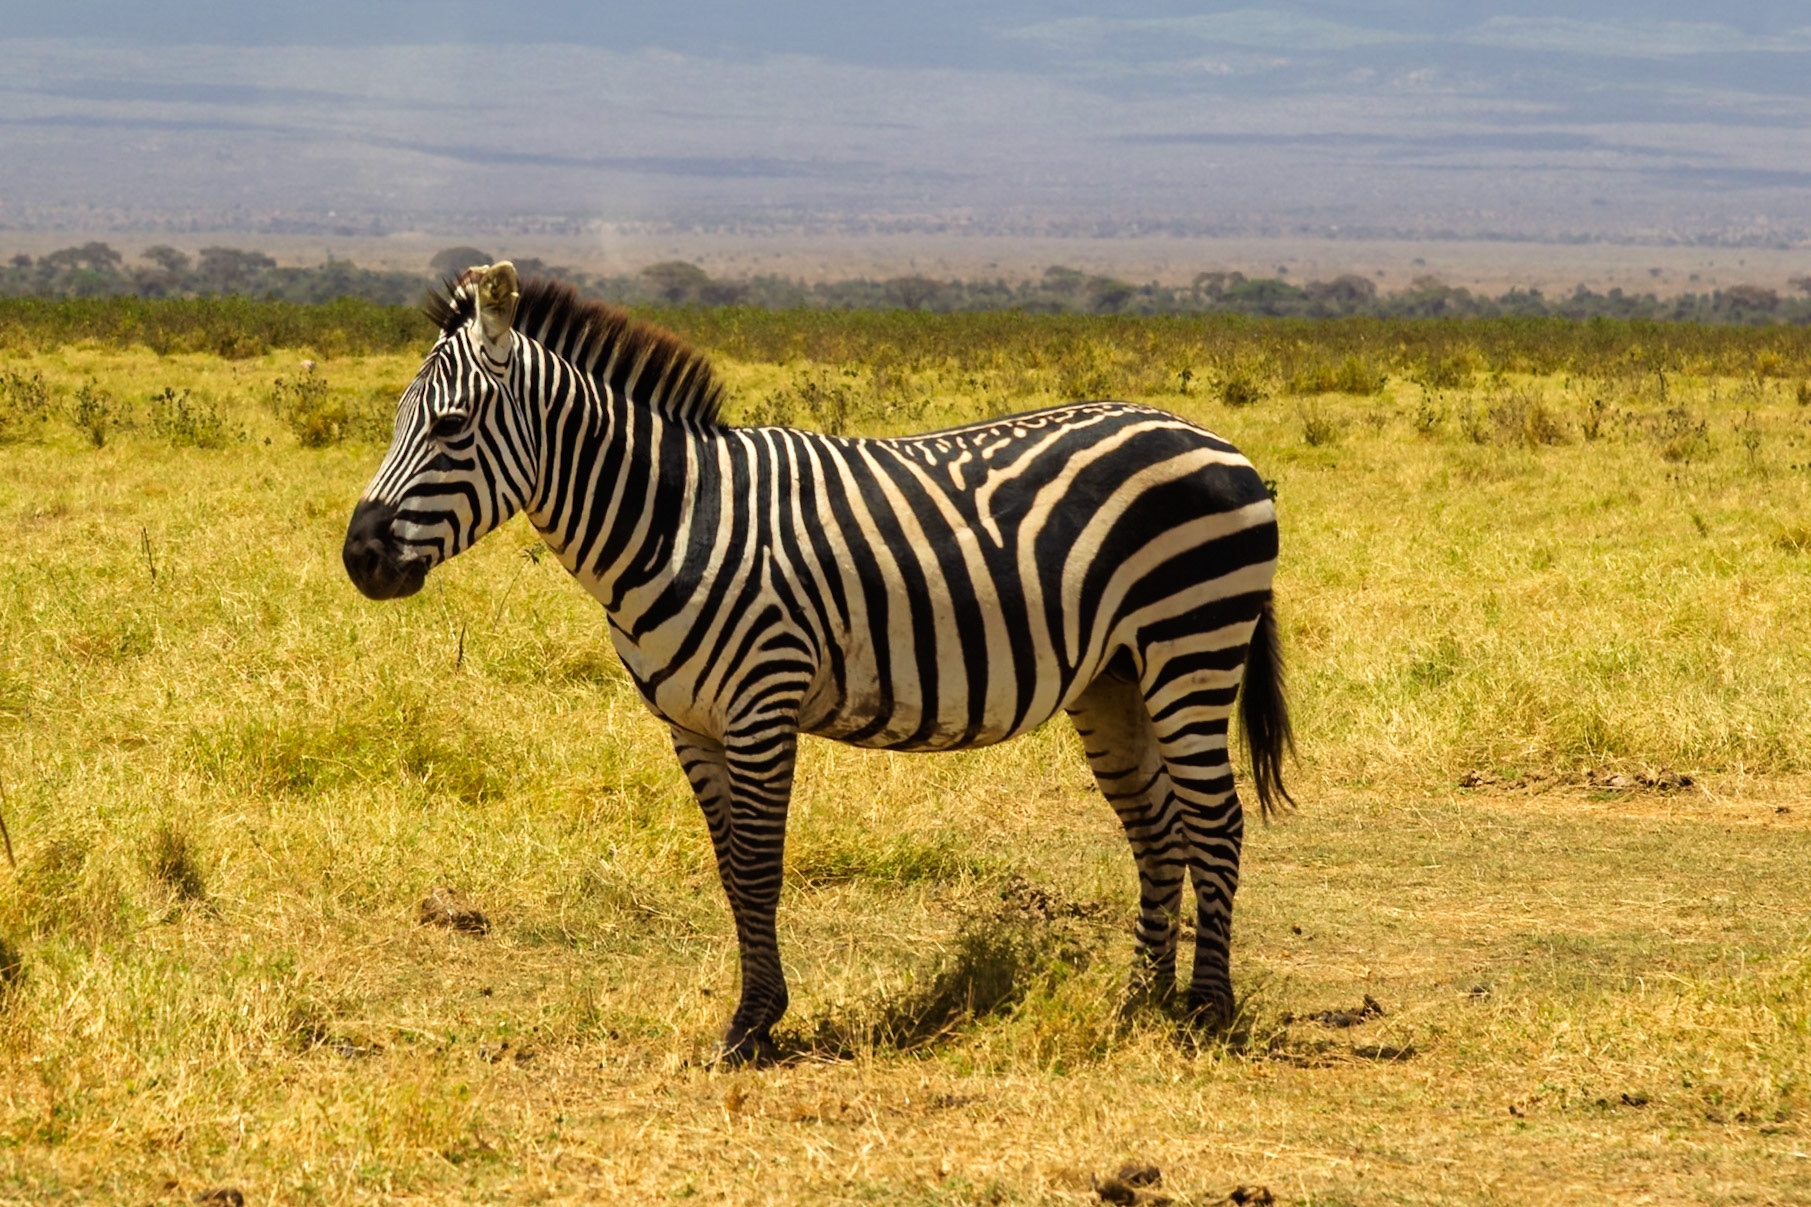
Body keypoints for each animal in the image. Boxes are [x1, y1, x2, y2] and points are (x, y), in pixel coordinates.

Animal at [343, 262, 1293, 1064]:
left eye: (450, 426)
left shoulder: (761, 703)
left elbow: (761, 868)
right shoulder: (690, 724)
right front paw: (753, 1013)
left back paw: (1205, 1012)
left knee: (1215, 821)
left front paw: (752, 1025)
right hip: (1114, 677)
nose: (358, 557)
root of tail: (1214, 438)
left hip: (1191, 645)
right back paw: (1141, 1001)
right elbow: (731, 871)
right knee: (1157, 825)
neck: (672, 520)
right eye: (392, 423)